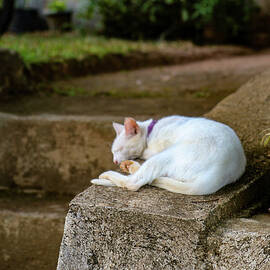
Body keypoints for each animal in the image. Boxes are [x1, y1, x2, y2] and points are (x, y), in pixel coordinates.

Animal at [91, 115, 247, 194]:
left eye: (119, 149)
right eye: (113, 152)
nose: (115, 161)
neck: (150, 131)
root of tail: (221, 172)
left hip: (168, 154)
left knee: (133, 183)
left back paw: (112, 172)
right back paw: (130, 166)